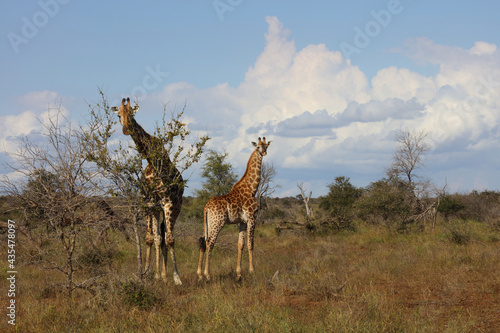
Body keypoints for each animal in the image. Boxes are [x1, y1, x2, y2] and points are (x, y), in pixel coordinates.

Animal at [111, 97, 184, 284]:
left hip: (176, 208)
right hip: (157, 210)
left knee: (167, 237)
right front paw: (147, 273)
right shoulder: (149, 204)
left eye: (133, 114)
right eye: (118, 115)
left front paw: (176, 278)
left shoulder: (168, 203)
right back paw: (160, 275)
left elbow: (170, 239)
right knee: (159, 238)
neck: (152, 161)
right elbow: (151, 238)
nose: (126, 129)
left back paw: (167, 275)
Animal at [197, 136, 272, 278]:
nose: (264, 153)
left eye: (266, 146)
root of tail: (206, 208)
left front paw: (239, 274)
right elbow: (250, 244)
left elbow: (240, 245)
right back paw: (207, 275)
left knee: (203, 241)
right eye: (258, 147)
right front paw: (252, 271)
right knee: (210, 242)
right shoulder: (252, 218)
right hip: (218, 222)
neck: (252, 188)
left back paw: (199, 274)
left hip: (208, 223)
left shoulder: (242, 221)